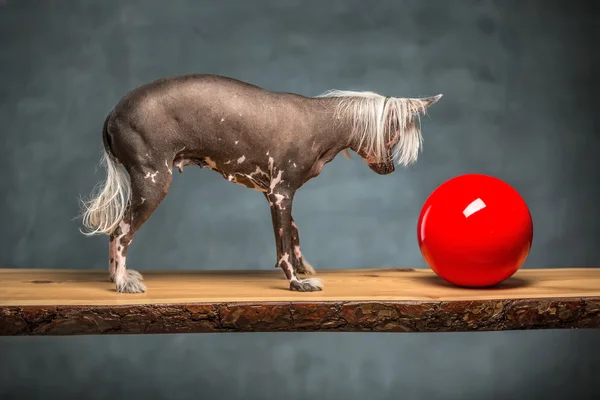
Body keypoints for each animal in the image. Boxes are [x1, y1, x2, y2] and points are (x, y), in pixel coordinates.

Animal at [78, 74, 440, 294]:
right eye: (394, 137)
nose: (391, 169)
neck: (324, 122)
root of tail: (113, 113)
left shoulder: (280, 195)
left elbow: (293, 234)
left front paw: (303, 269)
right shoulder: (280, 195)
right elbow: (282, 248)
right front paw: (296, 283)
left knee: (116, 233)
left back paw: (117, 276)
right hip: (153, 184)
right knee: (120, 233)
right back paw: (122, 282)